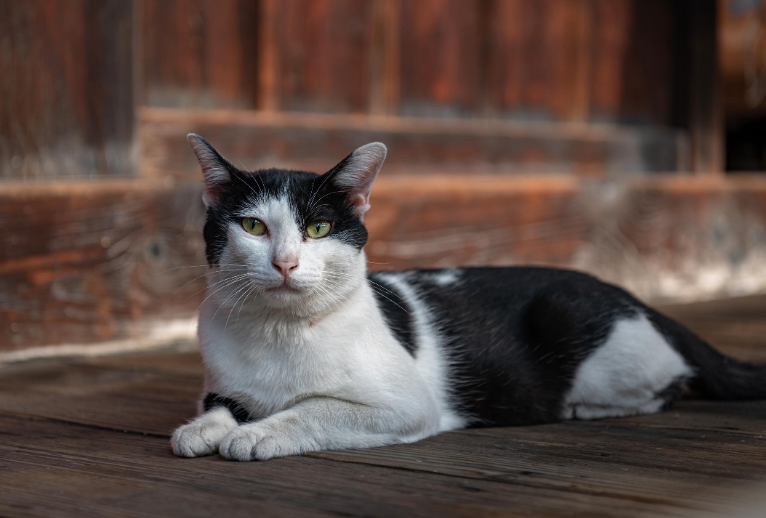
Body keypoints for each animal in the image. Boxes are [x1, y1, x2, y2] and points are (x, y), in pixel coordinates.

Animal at [172, 135, 766, 464]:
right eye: (252, 226)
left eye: (318, 228)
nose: (285, 262)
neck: (278, 331)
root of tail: (630, 294)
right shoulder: (221, 383)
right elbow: (218, 405)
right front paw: (200, 430)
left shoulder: (405, 405)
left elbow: (313, 408)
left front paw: (258, 433)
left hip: (577, 326)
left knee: (668, 384)